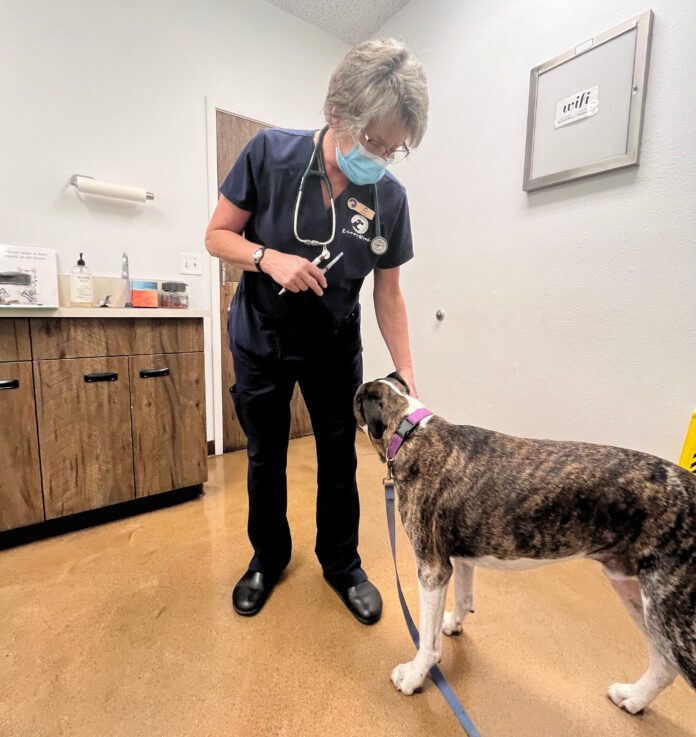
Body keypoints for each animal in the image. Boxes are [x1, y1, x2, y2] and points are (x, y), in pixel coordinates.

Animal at [356, 374, 696, 712]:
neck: (411, 432)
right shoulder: (460, 559)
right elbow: (464, 598)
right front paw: (452, 623)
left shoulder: (432, 570)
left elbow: (427, 642)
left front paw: (414, 676)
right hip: (633, 591)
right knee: (664, 665)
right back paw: (633, 698)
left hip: (671, 614)